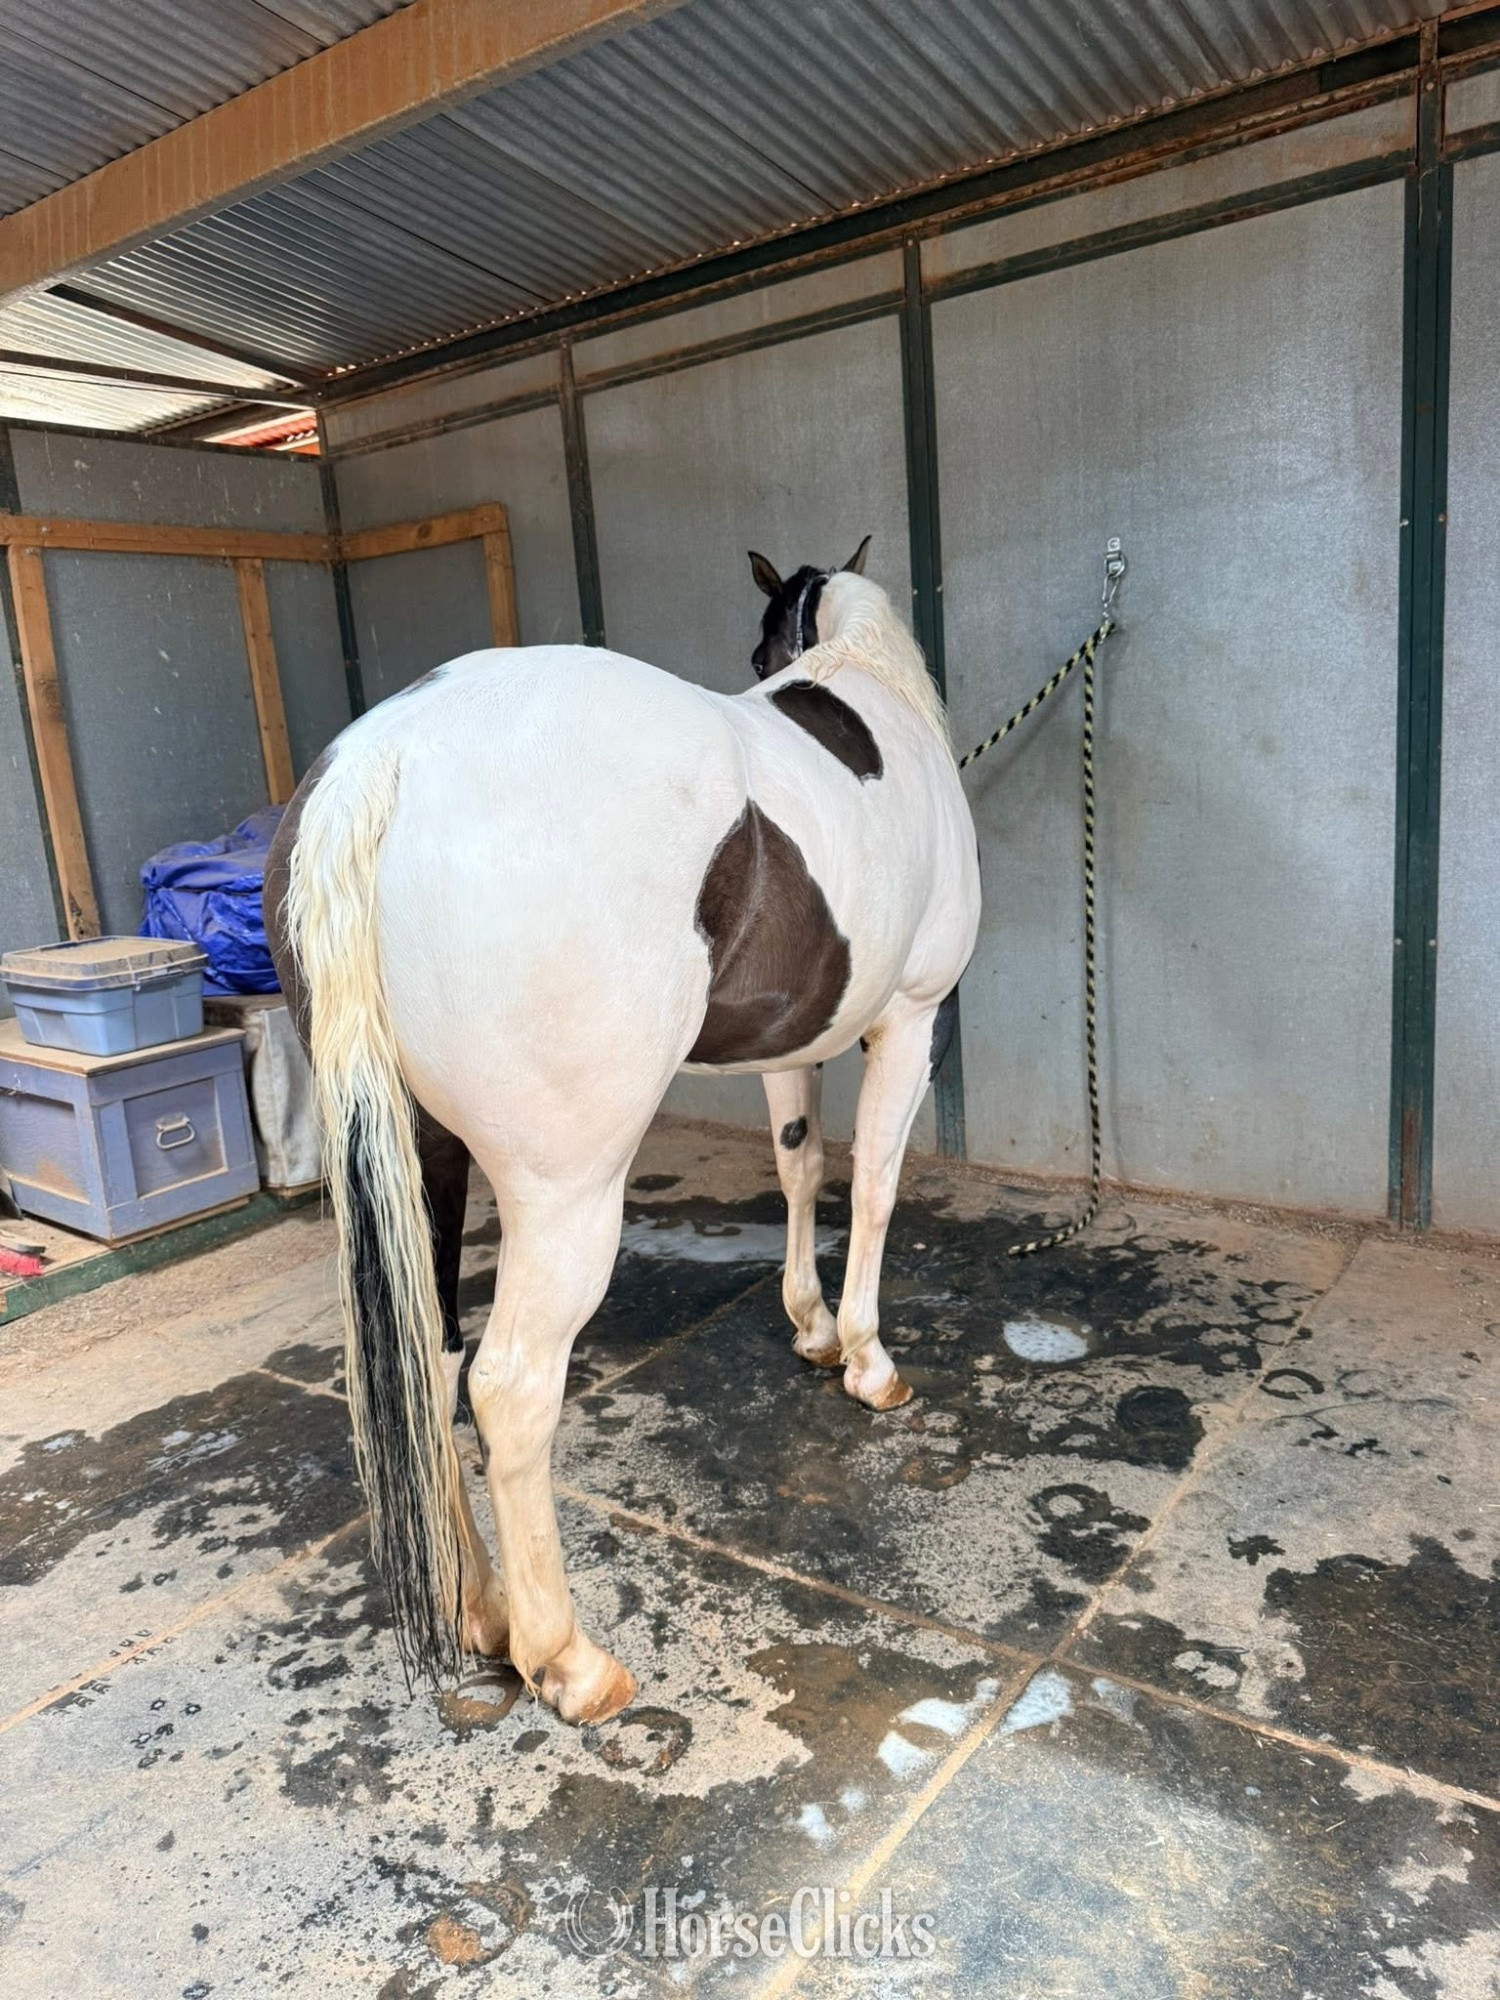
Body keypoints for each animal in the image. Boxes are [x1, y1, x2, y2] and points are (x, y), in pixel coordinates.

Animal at [264, 540, 980, 1725]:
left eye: (758, 652)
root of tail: (381, 760)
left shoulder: (789, 1046)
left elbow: (800, 1167)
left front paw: (812, 1327)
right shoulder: (909, 1021)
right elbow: (875, 1184)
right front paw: (868, 1359)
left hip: (423, 1161)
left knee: (432, 1360)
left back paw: (480, 1609)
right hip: (565, 1193)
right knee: (506, 1387)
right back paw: (566, 1658)